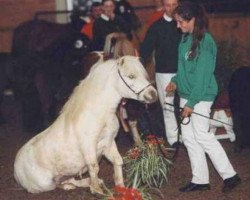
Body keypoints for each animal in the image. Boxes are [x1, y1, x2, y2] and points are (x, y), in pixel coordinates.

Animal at [13, 55, 157, 194]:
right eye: (131, 76)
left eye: (144, 74)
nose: (153, 94)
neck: (100, 114)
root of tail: (16, 170)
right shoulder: (88, 146)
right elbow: (94, 167)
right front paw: (97, 191)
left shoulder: (109, 142)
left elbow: (118, 161)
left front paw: (120, 187)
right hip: (46, 184)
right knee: (58, 184)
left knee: (69, 180)